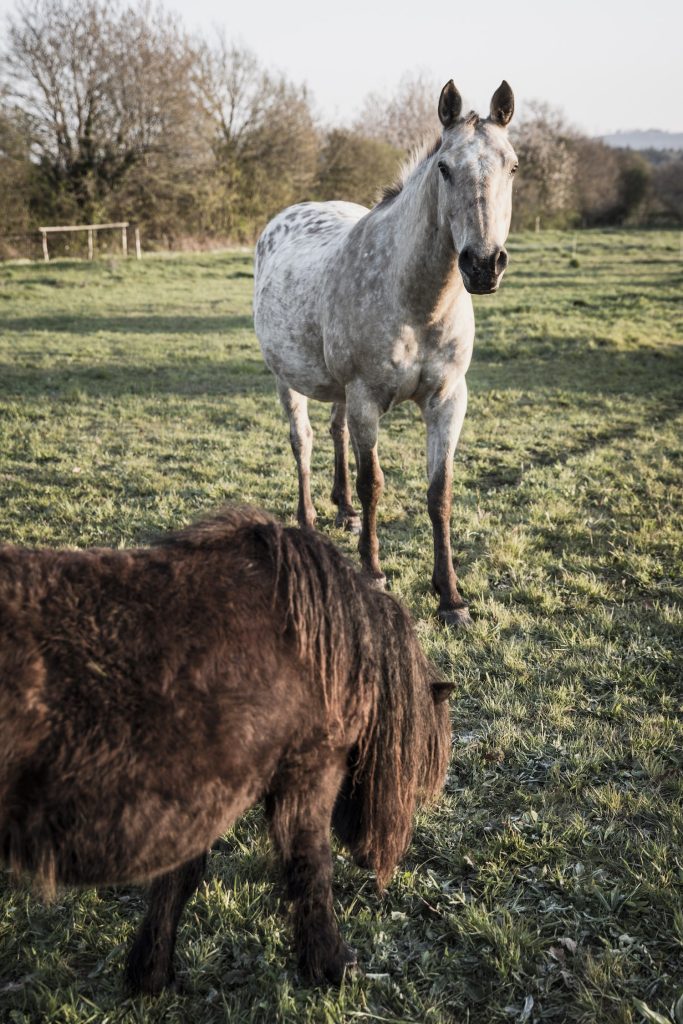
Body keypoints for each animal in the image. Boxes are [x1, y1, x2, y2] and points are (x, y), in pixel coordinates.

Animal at [0, 506, 452, 994]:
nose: (375, 859)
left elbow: (180, 877)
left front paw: (150, 971)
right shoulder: (306, 777)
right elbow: (310, 869)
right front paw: (332, 964)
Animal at [253, 80, 517, 626]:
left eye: (513, 166)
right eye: (445, 168)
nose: (483, 265)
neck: (416, 300)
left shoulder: (447, 400)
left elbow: (440, 492)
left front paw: (451, 596)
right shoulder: (367, 399)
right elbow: (374, 482)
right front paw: (373, 574)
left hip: (337, 390)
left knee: (334, 432)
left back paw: (345, 512)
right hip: (289, 381)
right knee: (303, 441)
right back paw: (310, 521)